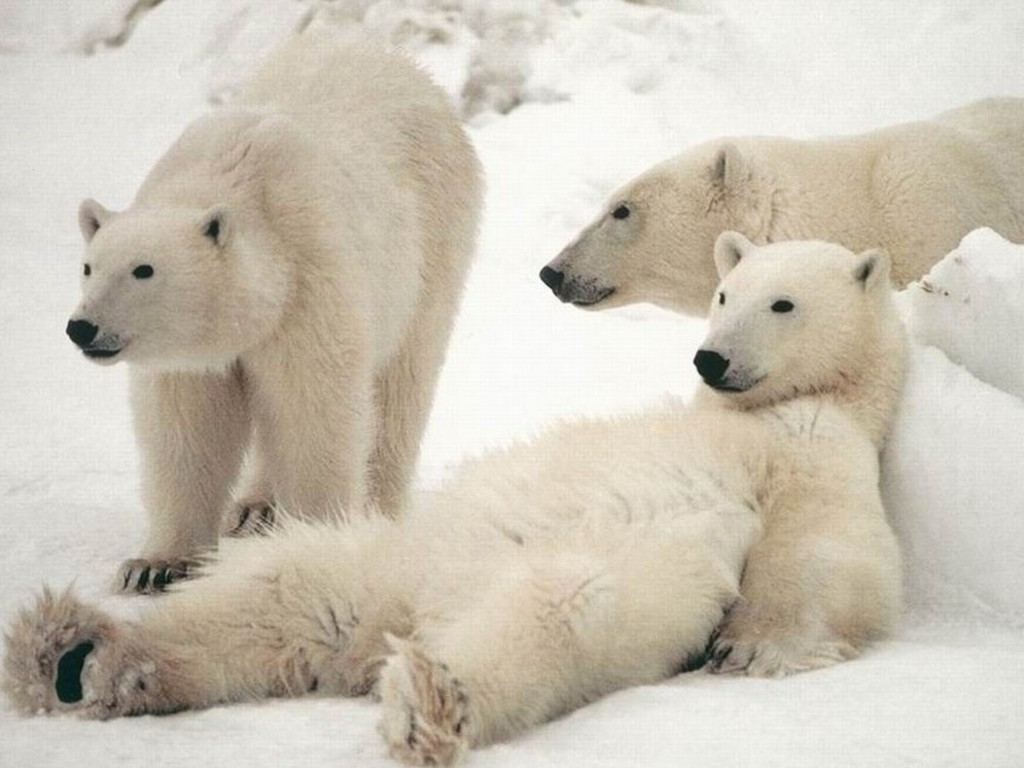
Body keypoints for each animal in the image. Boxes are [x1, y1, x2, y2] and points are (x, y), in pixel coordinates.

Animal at [5, 234, 904, 765]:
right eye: (724, 294)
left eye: (783, 302)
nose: (711, 359)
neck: (762, 411)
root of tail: (400, 619)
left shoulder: (822, 446)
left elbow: (836, 552)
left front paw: (752, 648)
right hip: (380, 553)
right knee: (275, 593)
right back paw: (75, 655)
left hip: (578, 579)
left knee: (554, 612)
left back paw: (427, 699)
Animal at [63, 35, 483, 592]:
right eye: (89, 266)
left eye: (143, 270)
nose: (82, 327)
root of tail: (407, 68)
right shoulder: (195, 356)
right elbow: (186, 428)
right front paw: (153, 566)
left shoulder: (309, 281)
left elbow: (313, 406)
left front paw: (318, 542)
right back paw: (254, 507)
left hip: (431, 242)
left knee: (402, 383)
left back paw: (376, 506)